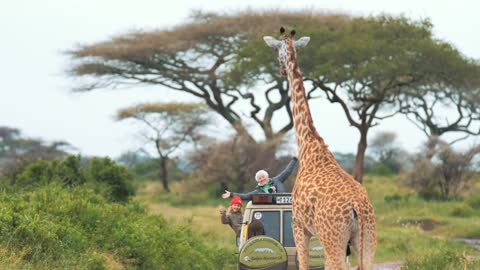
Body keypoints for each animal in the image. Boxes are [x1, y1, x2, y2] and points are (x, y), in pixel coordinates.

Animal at [264, 28, 376, 268]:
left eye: (276, 51)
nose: (280, 69)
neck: (309, 144)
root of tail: (358, 207)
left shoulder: (299, 225)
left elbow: (304, 264)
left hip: (333, 238)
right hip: (367, 238)